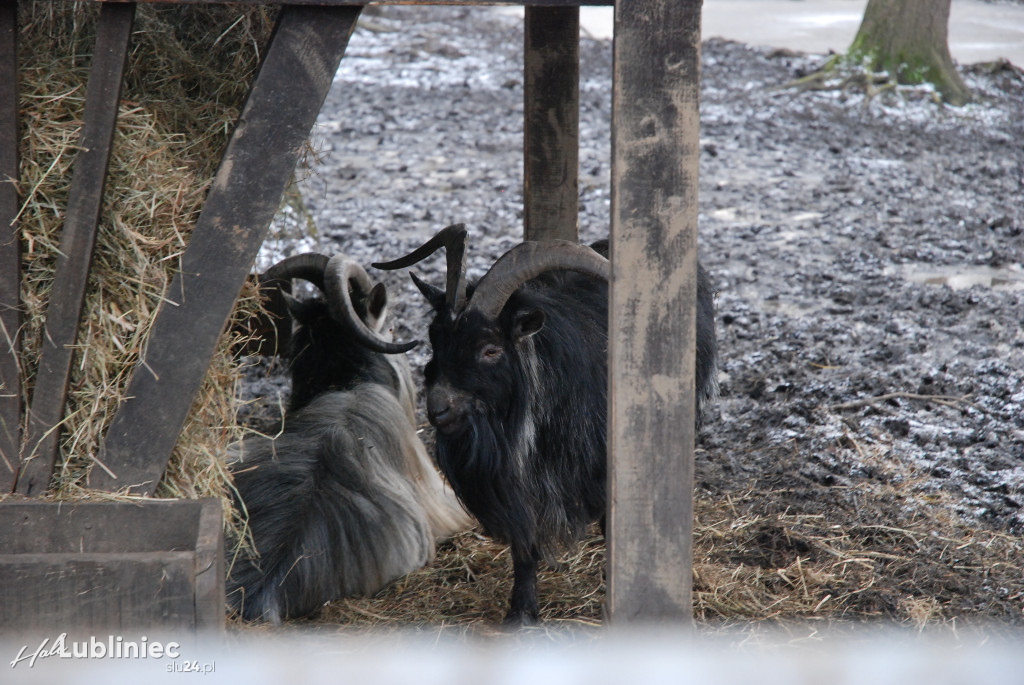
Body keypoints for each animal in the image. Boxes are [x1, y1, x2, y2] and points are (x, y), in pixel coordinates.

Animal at [376, 224, 720, 626]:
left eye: (490, 349)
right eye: (435, 340)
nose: (438, 408)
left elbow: (612, 521)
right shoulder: (516, 483)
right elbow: (525, 542)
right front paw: (522, 611)